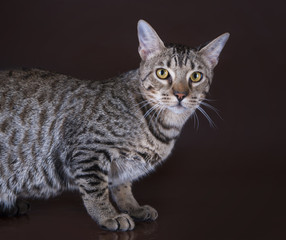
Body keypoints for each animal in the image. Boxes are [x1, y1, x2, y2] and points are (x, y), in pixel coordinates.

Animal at [0, 20, 229, 231]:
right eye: (162, 73)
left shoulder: (120, 167)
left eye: (196, 76)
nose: (180, 94)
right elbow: (96, 190)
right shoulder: (87, 151)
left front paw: (132, 206)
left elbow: (122, 185)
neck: (164, 126)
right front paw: (108, 215)